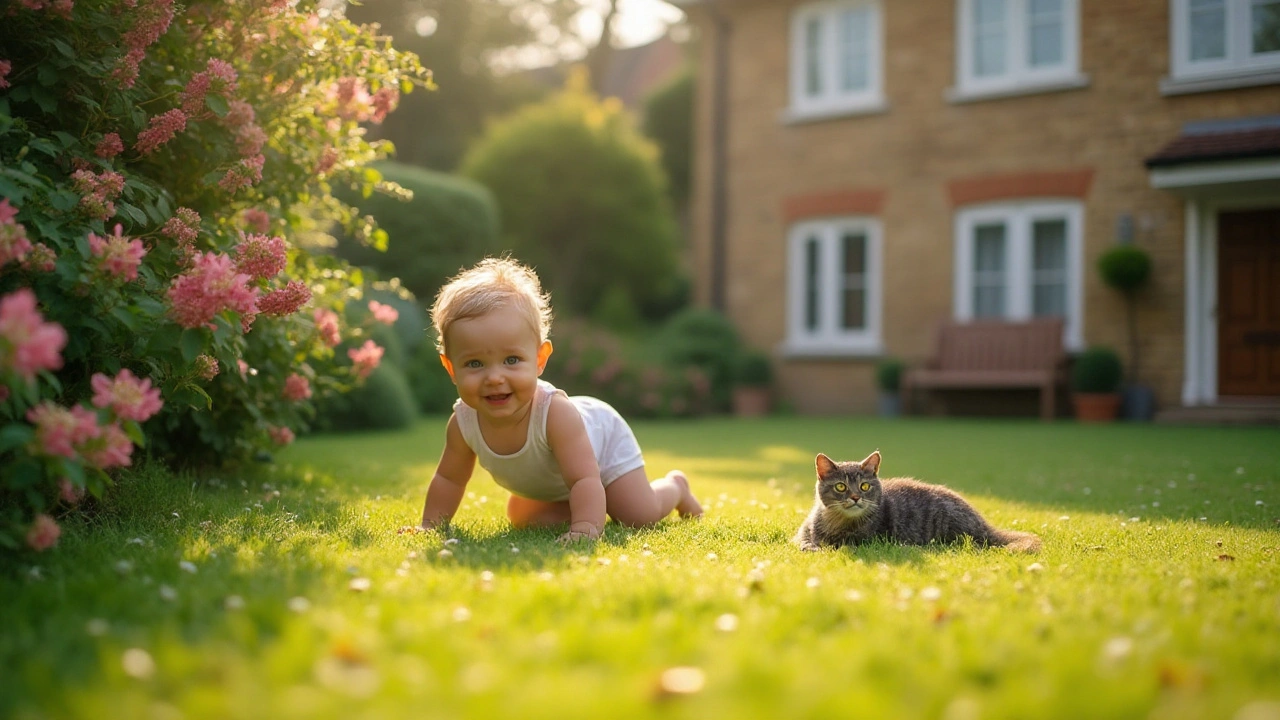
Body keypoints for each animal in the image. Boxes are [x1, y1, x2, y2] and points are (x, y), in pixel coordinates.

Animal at [793, 450, 1044, 550]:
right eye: (841, 486)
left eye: (864, 486)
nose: (855, 497)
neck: (836, 521)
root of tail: (984, 524)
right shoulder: (801, 533)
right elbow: (803, 540)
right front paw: (810, 545)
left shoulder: (864, 540)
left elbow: (835, 544)